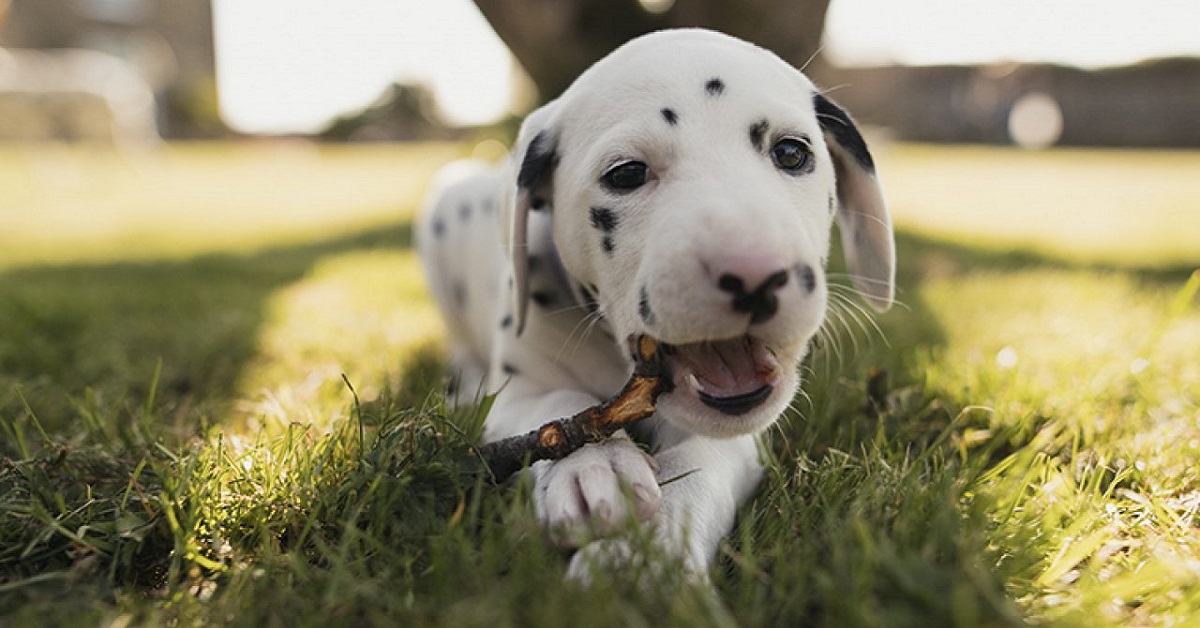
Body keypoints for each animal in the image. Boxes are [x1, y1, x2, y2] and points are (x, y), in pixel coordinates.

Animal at [415, 28, 892, 581]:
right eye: (626, 174)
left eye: (792, 152)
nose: (755, 274)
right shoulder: (518, 393)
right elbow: (555, 406)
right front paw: (594, 466)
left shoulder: (738, 437)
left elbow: (702, 462)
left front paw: (646, 558)